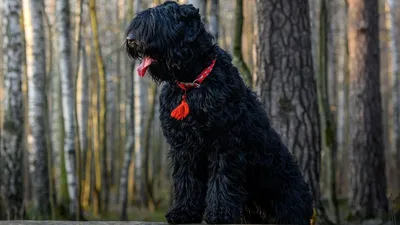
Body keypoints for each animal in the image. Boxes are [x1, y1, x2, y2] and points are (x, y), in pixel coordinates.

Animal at [126, 1, 314, 223]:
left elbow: (221, 180)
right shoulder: (183, 147)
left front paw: (219, 215)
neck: (191, 84)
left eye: (157, 23)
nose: (130, 40)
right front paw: (183, 212)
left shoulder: (225, 142)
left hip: (287, 197)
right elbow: (186, 179)